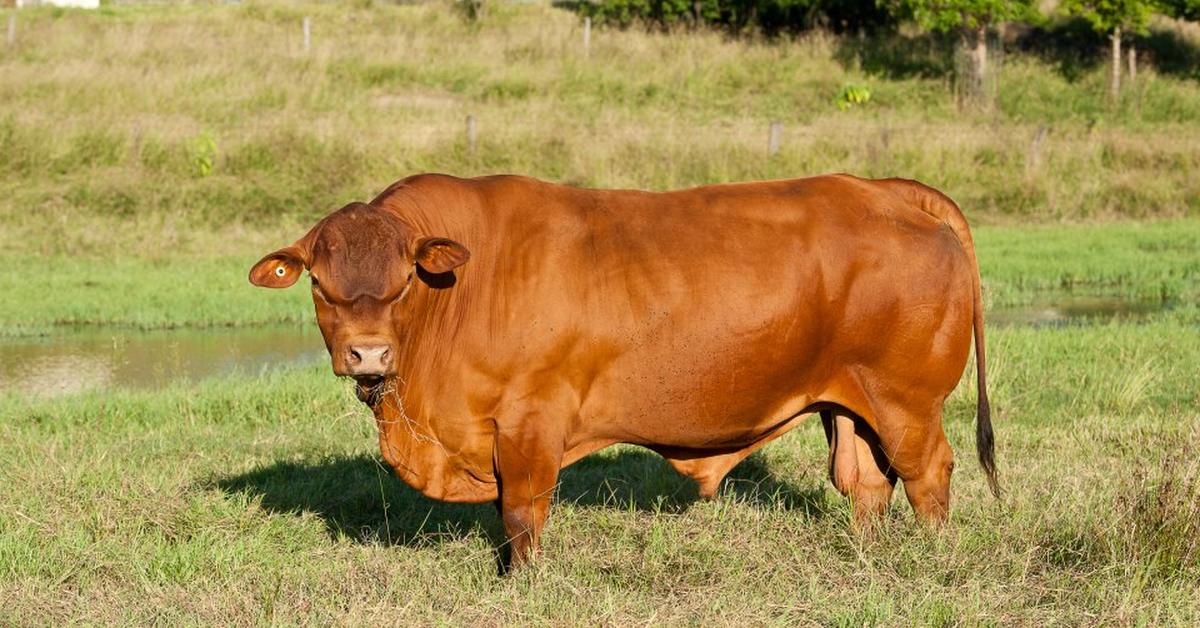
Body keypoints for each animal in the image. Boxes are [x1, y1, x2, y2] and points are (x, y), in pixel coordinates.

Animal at [248, 171, 998, 569]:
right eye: (320, 285)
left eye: (403, 280)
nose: (369, 355)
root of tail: (885, 189)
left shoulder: (531, 421)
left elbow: (521, 512)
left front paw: (522, 584)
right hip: (851, 402)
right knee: (866, 482)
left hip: (907, 401)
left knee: (928, 473)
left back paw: (934, 556)